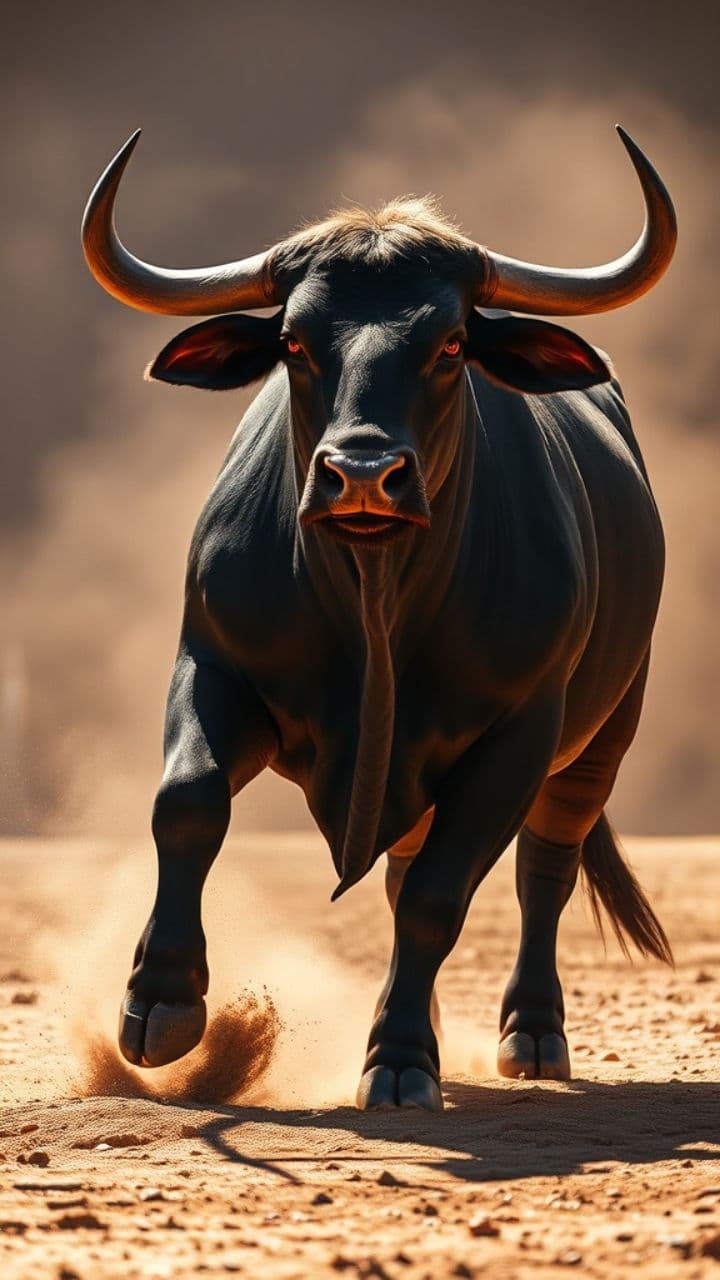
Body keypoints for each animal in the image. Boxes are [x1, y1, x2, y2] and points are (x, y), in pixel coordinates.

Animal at [82, 126, 676, 1111]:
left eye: (450, 344)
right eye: (293, 340)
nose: (362, 474)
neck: (373, 603)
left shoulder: (518, 734)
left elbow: (443, 896)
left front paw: (398, 1061)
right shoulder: (210, 665)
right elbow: (188, 804)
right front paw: (161, 1006)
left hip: (606, 733)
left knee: (544, 866)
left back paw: (532, 1035)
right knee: (404, 871)